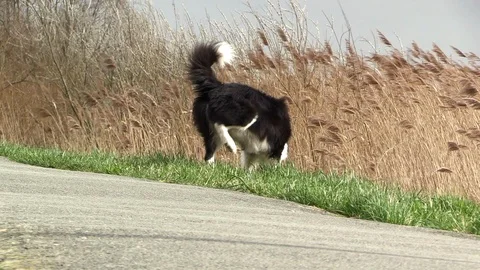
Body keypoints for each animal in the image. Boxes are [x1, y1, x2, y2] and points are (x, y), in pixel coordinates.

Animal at [188, 40, 292, 169]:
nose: (280, 164)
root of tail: (217, 87)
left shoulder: (251, 151)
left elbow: (249, 164)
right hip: (247, 113)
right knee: (219, 124)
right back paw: (230, 145)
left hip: (210, 129)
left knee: (209, 152)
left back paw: (211, 167)